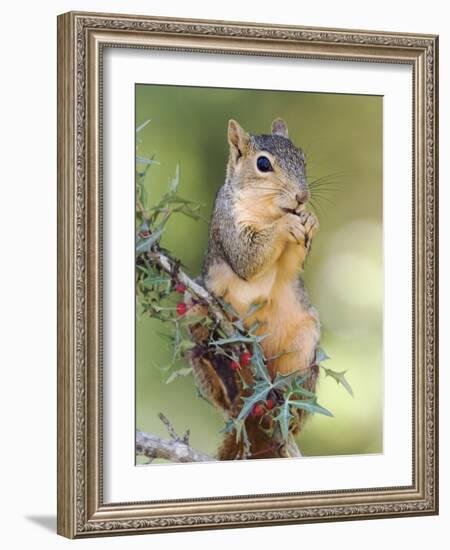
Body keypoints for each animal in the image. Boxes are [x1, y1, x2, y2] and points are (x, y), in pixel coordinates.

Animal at [186, 117, 320, 462]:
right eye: (263, 164)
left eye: (303, 157)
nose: (302, 197)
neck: (269, 210)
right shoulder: (228, 224)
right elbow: (248, 258)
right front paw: (285, 226)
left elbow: (291, 266)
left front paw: (310, 218)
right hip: (195, 307)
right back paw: (224, 377)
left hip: (304, 345)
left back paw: (287, 407)